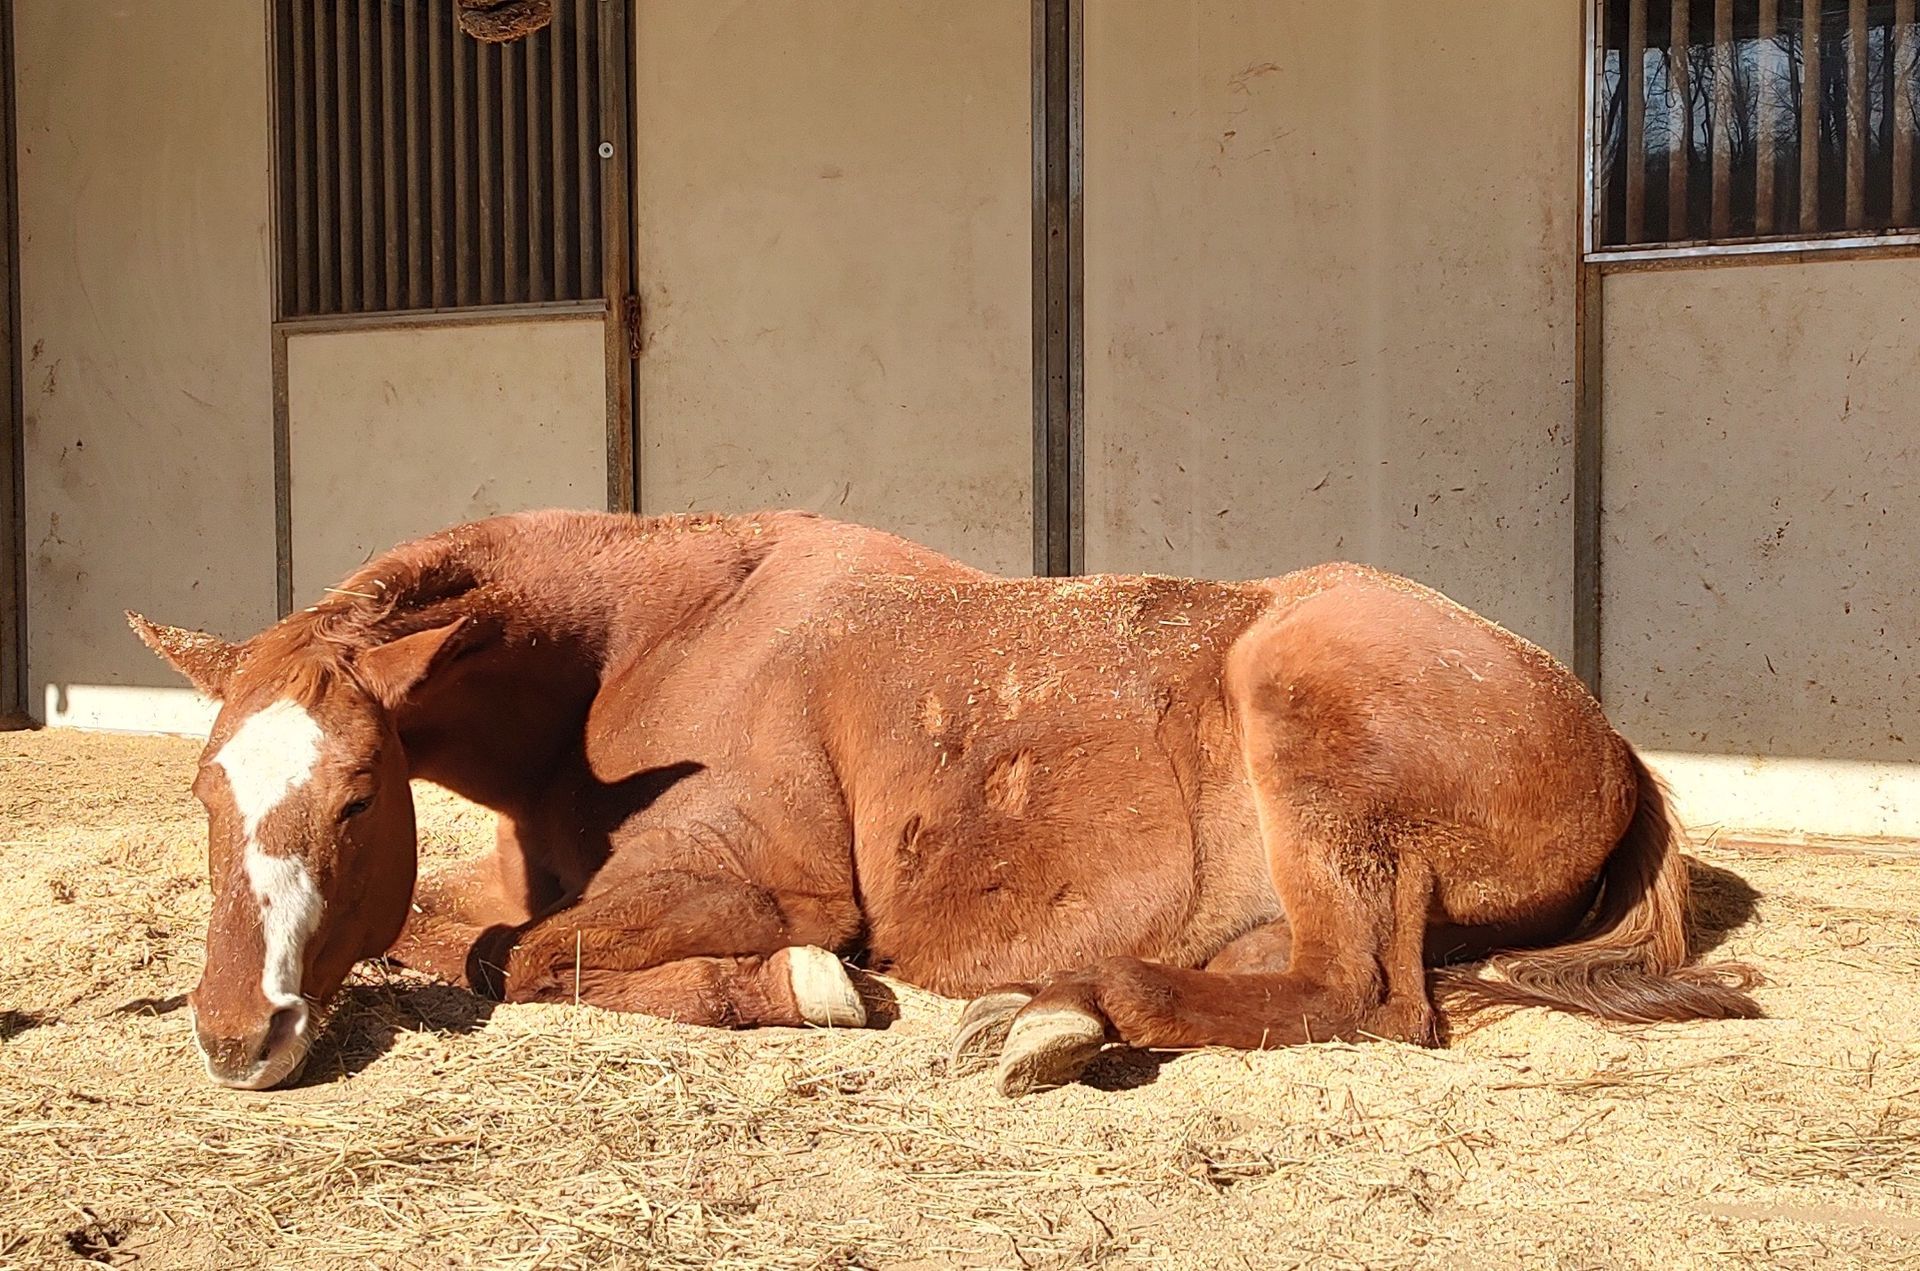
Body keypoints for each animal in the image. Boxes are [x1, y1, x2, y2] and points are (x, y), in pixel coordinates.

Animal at [130, 508, 1757, 1093]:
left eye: (358, 796)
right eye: (205, 789)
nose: (237, 1034)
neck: (655, 641)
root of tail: (1610, 737)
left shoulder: (752, 881)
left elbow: (514, 960)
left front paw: (806, 987)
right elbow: (452, 933)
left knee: (1370, 994)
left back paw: (1057, 1008)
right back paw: (1059, 1015)